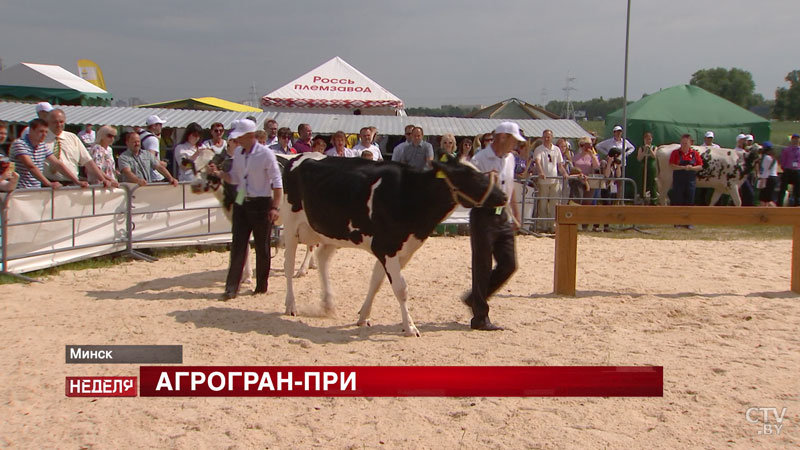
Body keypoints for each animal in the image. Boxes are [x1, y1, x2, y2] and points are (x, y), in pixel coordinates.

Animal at [282, 154, 506, 334]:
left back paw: (328, 304)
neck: (409, 195)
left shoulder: (403, 250)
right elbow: (401, 288)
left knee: (322, 260)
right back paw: (291, 306)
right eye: (473, 177)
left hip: (330, 233)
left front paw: (363, 316)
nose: (503, 196)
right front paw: (410, 327)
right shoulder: (385, 247)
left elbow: (376, 282)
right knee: (288, 266)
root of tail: (298, 158)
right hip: (291, 226)